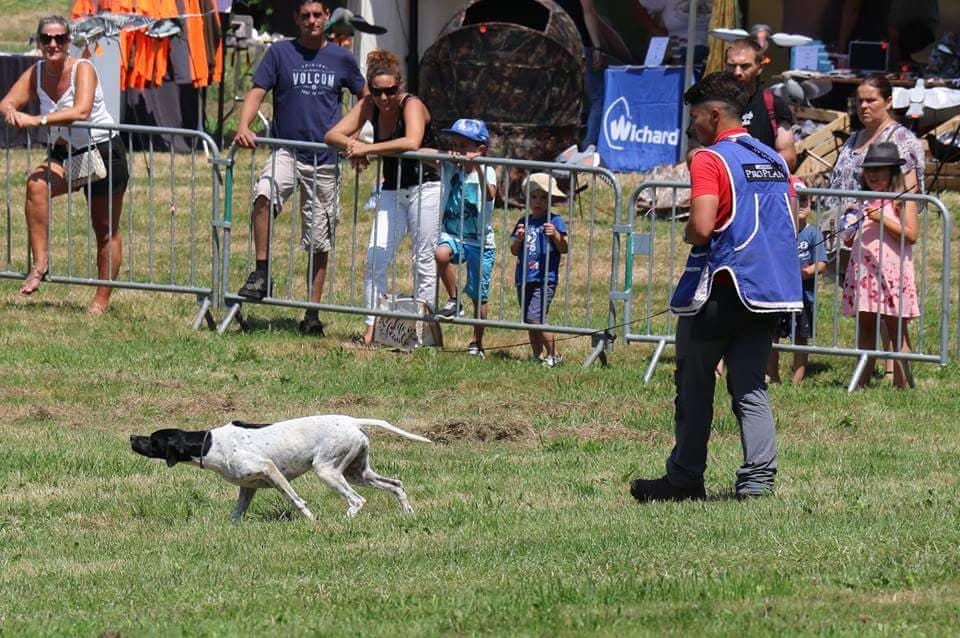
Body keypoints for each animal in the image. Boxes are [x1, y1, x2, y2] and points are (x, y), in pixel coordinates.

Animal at [129, 416, 430, 524]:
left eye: (153, 439)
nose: (131, 437)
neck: (209, 443)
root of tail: (353, 421)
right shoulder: (247, 486)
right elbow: (237, 512)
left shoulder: (271, 470)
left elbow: (296, 501)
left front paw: (310, 519)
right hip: (358, 473)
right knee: (396, 485)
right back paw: (408, 513)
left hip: (328, 472)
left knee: (357, 500)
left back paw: (347, 519)